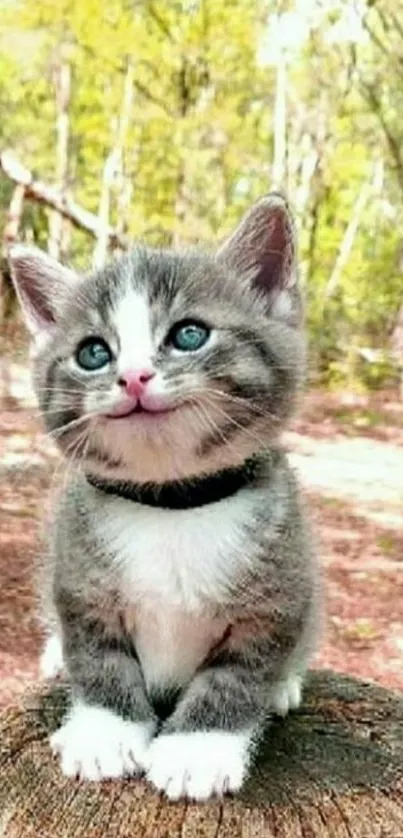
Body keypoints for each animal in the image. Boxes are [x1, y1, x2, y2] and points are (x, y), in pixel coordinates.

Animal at [9, 194, 324, 804]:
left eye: (189, 335)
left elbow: (236, 678)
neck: (171, 505)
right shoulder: (77, 582)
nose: (133, 376)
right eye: (93, 352)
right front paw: (105, 734)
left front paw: (195, 750)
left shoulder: (279, 595)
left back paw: (285, 685)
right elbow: (100, 661)